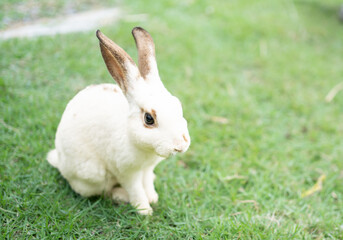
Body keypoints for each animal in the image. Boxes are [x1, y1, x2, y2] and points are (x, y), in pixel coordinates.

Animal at [46, 27, 191, 215]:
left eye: (177, 104)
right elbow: (136, 190)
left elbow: (147, 183)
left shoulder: (147, 168)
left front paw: (153, 198)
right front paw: (145, 211)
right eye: (149, 118)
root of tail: (60, 162)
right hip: (94, 175)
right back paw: (120, 196)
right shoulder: (127, 173)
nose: (181, 145)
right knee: (103, 192)